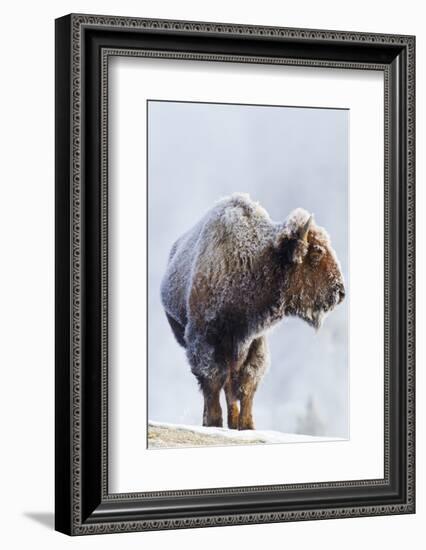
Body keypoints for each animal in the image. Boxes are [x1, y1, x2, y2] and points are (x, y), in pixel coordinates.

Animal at [161, 193, 344, 432]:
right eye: (316, 253)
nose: (340, 292)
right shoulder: (204, 339)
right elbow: (212, 380)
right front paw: (213, 422)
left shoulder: (254, 341)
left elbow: (247, 383)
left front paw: (247, 425)